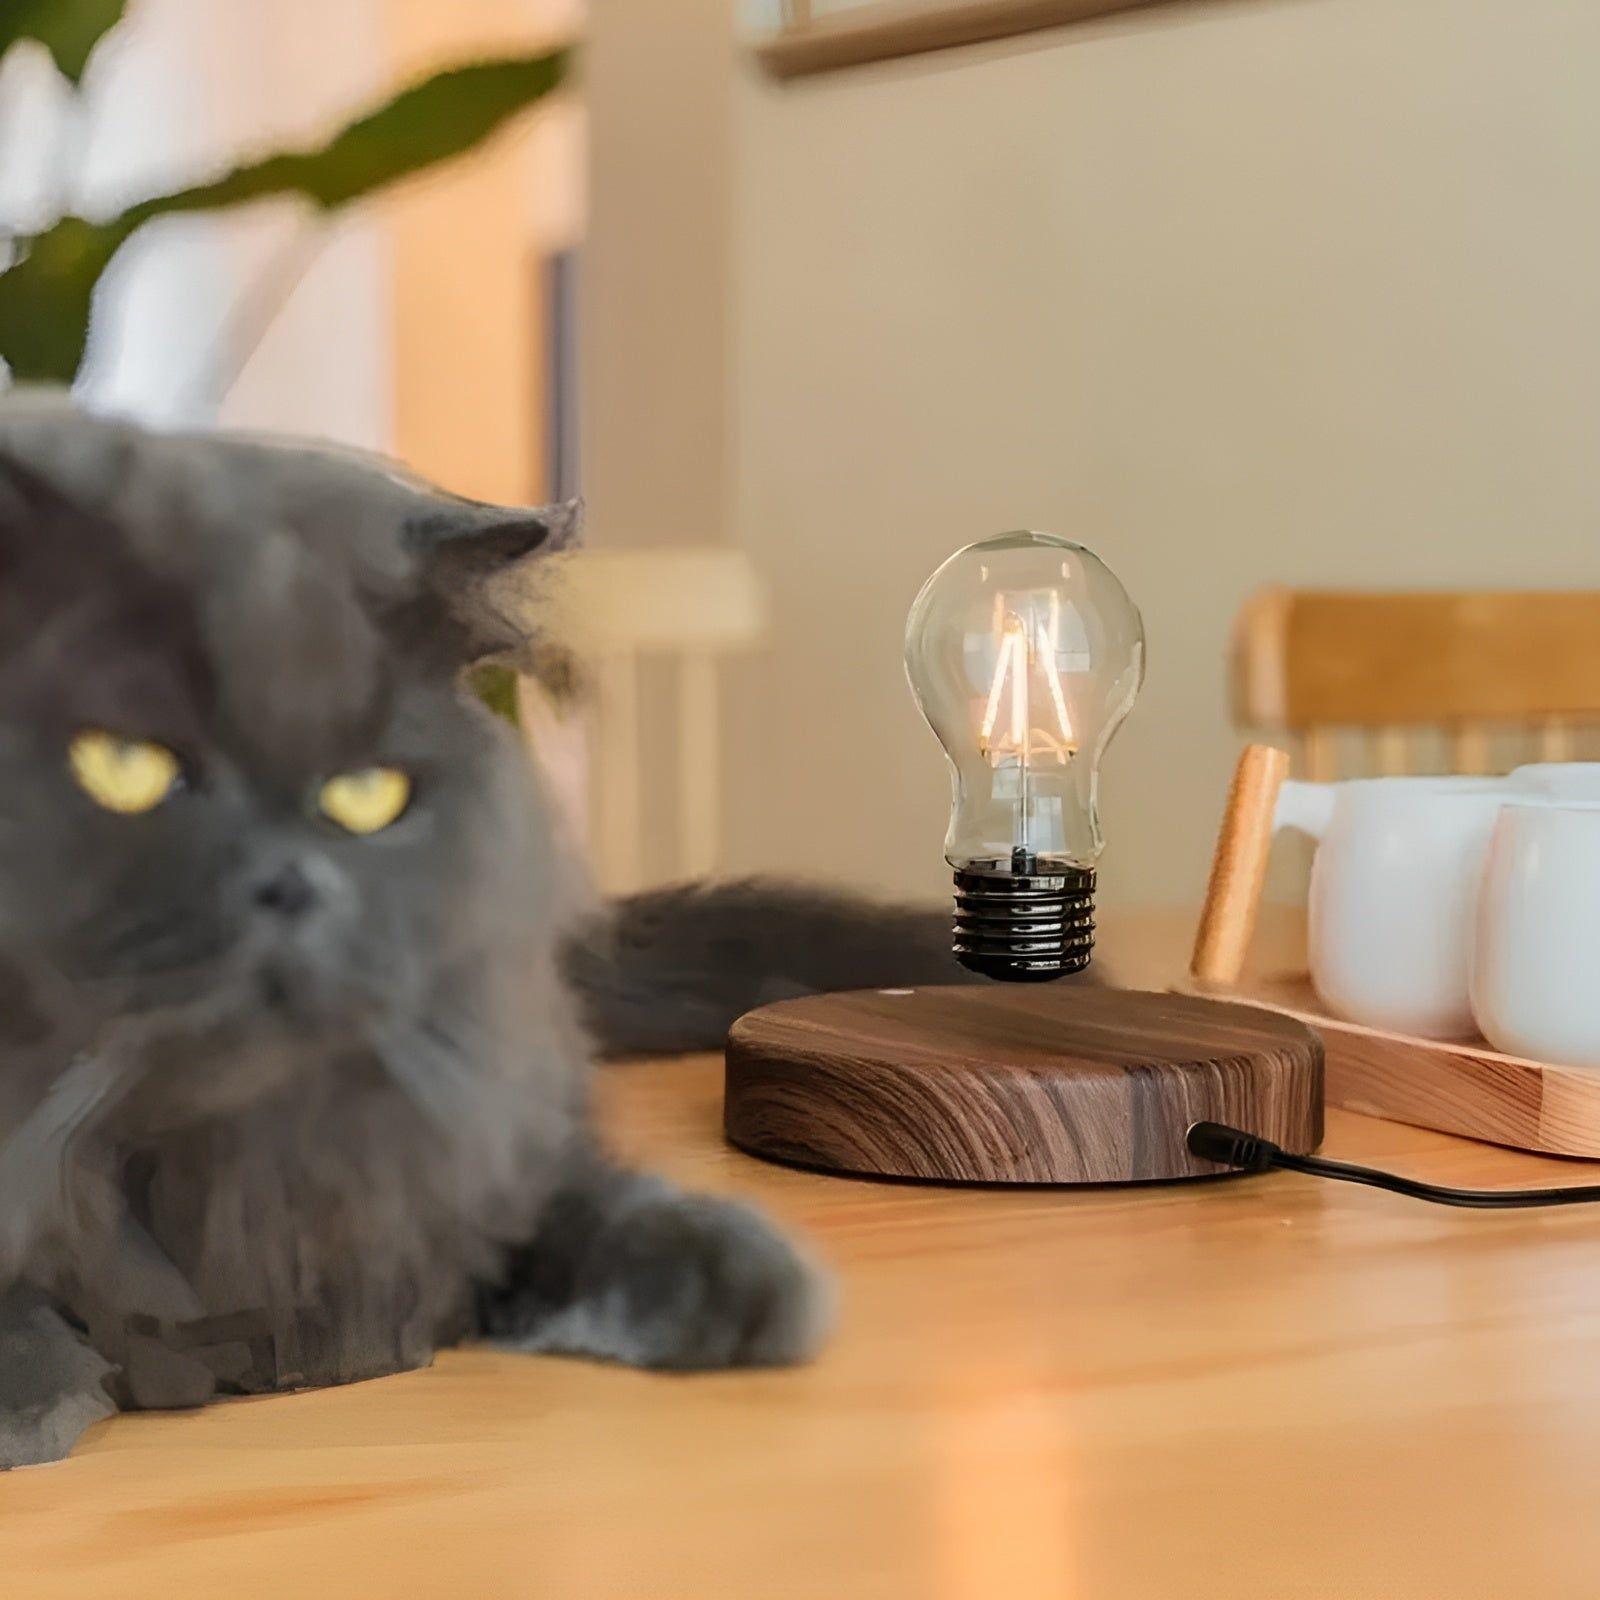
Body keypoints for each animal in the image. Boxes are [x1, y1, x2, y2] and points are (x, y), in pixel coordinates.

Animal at [0, 403, 966, 1472]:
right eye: (123, 767)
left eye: (367, 795)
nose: (289, 883)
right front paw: (31, 1396)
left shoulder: (469, 1123)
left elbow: (563, 1209)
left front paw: (734, 1276)